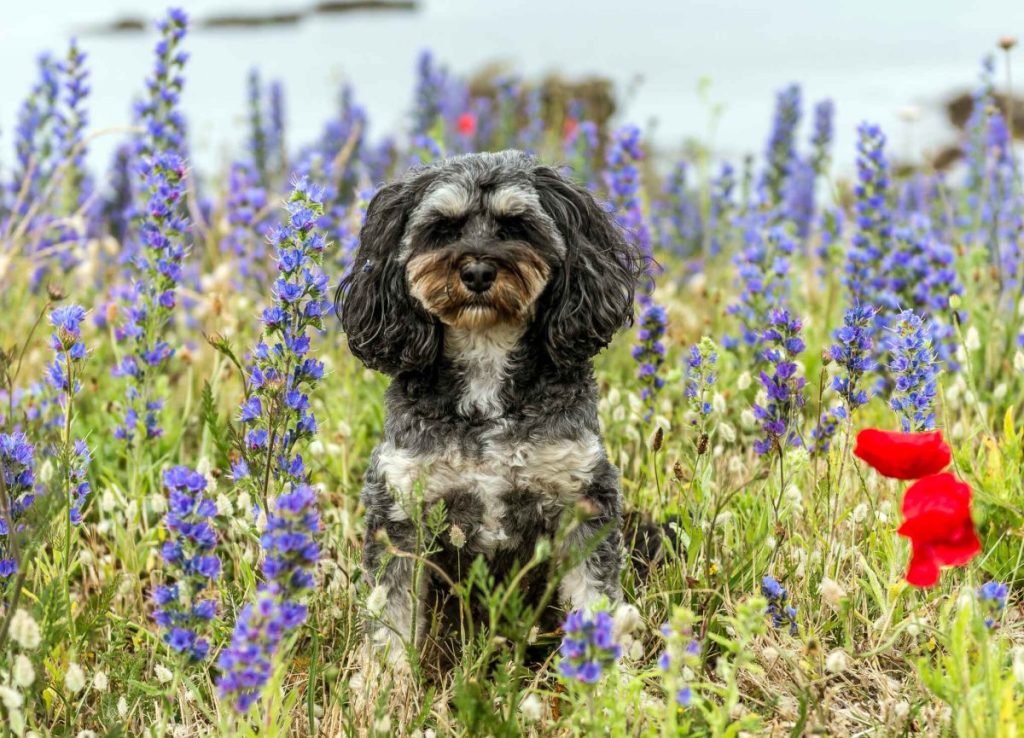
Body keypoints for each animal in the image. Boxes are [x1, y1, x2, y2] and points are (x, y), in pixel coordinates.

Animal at [337, 148, 638, 663]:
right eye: (442, 229)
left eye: (516, 226)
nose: (477, 272)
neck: (486, 368)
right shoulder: (400, 509)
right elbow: (389, 617)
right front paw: (381, 683)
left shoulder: (582, 500)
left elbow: (593, 595)